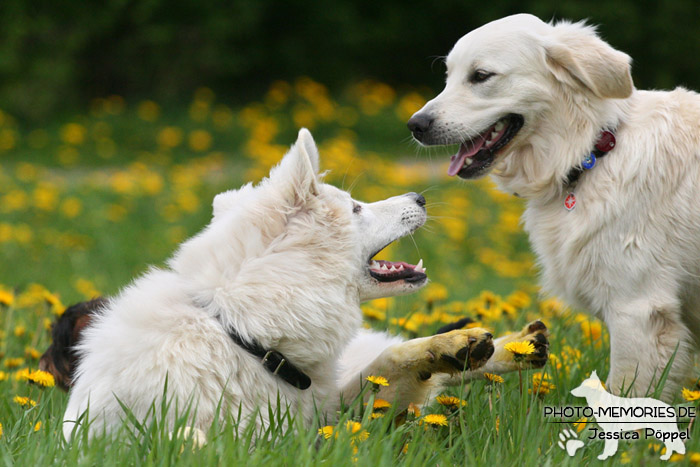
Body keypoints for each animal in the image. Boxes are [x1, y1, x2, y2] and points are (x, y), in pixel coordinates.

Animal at [63, 129, 548, 442]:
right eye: (355, 208)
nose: (420, 197)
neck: (244, 335)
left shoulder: (330, 410)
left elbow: (392, 360)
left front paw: (450, 346)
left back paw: (505, 345)